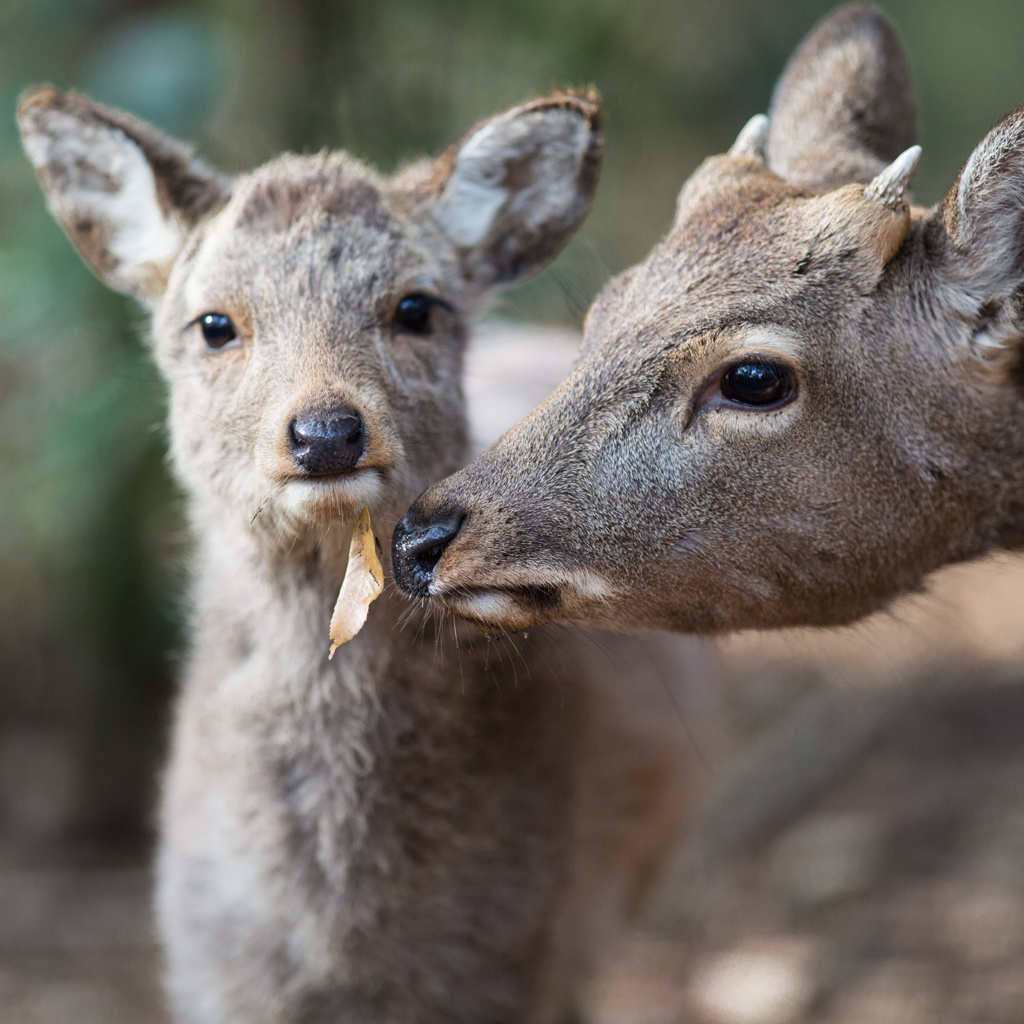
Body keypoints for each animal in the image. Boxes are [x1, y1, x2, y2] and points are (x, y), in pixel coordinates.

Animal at [22, 88, 712, 1024]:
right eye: (214, 324)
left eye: (416, 307)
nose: (325, 432)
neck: (340, 930)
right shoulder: (216, 973)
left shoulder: (519, 950)